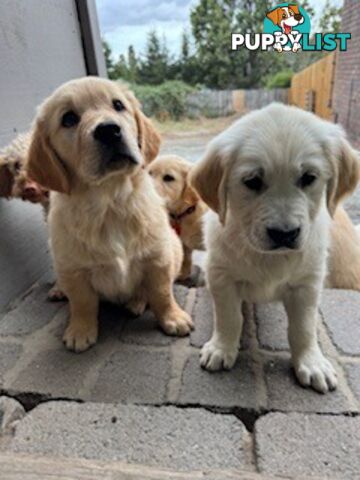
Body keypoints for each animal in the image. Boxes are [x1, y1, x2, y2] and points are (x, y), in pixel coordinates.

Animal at [25, 78, 193, 352]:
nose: (109, 130)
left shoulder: (158, 257)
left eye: (118, 105)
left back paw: (136, 303)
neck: (110, 203)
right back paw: (60, 290)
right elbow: (82, 303)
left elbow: (161, 292)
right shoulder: (74, 269)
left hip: (174, 246)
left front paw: (173, 317)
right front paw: (80, 330)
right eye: (68, 119)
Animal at [190, 103, 358, 392]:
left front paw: (311, 361)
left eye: (308, 178)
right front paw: (221, 349)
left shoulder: (307, 284)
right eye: (252, 181)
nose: (285, 234)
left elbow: (304, 328)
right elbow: (229, 317)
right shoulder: (221, 275)